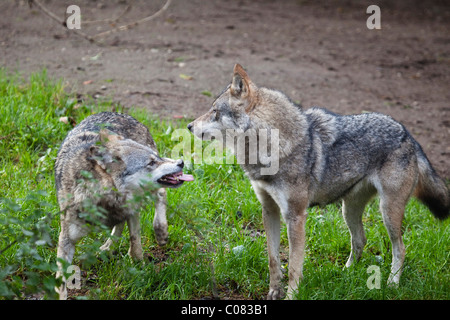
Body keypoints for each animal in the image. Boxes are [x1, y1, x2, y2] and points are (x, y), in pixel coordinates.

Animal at [54, 111, 192, 298]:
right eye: (151, 163)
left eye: (155, 159)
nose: (181, 162)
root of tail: (118, 113)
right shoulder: (66, 238)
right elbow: (60, 281)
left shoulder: (132, 211)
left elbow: (135, 241)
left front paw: (140, 265)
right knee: (119, 225)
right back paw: (107, 247)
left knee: (161, 194)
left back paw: (160, 231)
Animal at [188, 63, 450, 298]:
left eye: (214, 111)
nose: (189, 126)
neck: (268, 148)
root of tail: (408, 134)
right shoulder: (269, 210)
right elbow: (273, 260)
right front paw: (274, 292)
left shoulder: (295, 216)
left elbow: (294, 267)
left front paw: (291, 296)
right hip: (348, 210)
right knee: (360, 240)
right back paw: (344, 274)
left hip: (388, 213)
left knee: (400, 249)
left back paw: (392, 283)